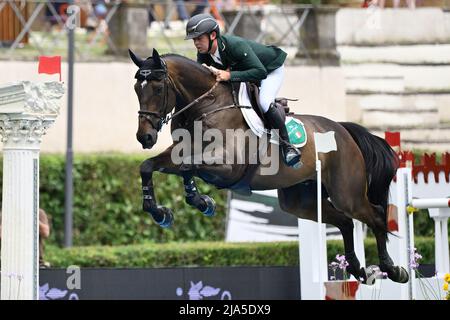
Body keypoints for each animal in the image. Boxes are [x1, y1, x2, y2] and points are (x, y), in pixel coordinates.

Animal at [128, 48, 410, 284]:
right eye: (136, 89)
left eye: (157, 89)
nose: (145, 137)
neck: (205, 106)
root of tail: (344, 130)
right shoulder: (181, 153)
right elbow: (149, 166)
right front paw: (161, 212)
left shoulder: (227, 166)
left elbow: (188, 167)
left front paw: (199, 202)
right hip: (300, 201)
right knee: (345, 222)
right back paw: (358, 269)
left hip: (347, 194)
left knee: (375, 215)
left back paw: (393, 270)